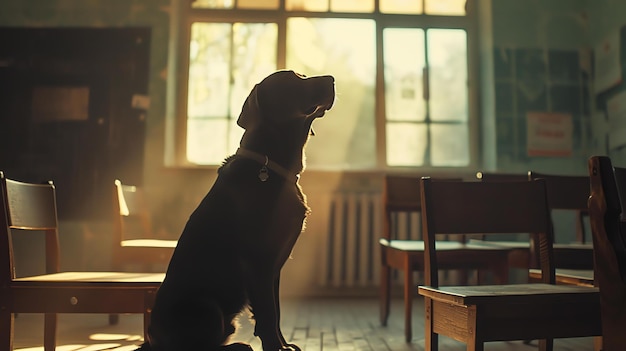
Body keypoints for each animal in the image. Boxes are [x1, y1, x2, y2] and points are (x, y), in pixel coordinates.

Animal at [139, 71, 334, 351]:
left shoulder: (274, 267)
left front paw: (283, 344)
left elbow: (275, 312)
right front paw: (275, 347)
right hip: (207, 306)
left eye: (303, 75)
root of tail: (151, 339)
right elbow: (267, 313)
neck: (270, 165)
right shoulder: (258, 261)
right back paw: (240, 346)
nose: (332, 79)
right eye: (291, 80)